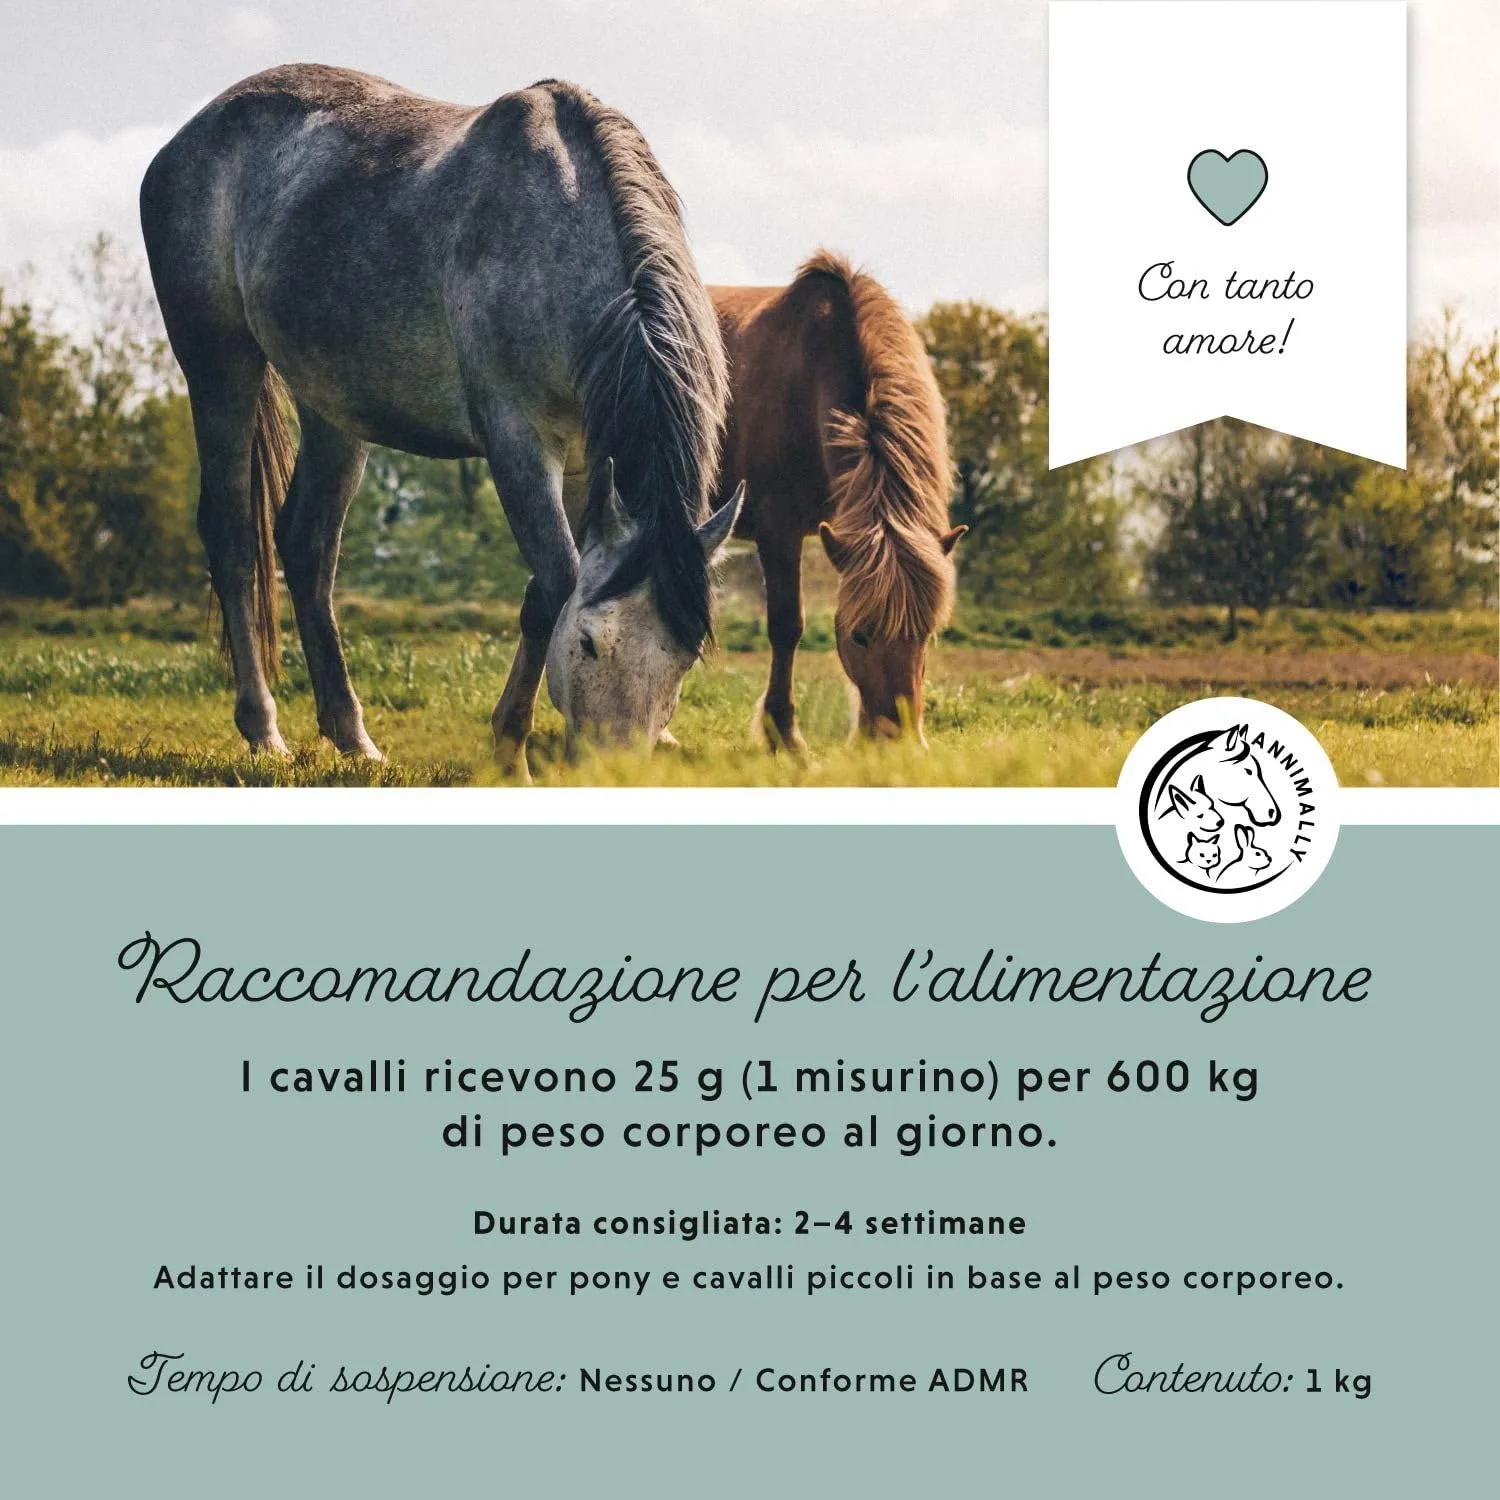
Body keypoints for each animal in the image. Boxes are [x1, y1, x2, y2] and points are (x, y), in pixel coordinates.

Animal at [140, 64, 741, 767]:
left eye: (684, 659)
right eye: (591, 643)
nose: (613, 773)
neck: (559, 232)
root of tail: (189, 137)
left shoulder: (587, 461)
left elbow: (545, 590)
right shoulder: (517, 441)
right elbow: (557, 583)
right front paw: (509, 749)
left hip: (332, 407)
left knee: (307, 547)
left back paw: (352, 736)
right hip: (220, 368)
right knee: (235, 539)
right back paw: (263, 729)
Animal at [708, 253, 964, 748]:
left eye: (925, 635)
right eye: (859, 636)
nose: (897, 741)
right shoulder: (778, 530)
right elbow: (787, 626)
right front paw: (785, 736)